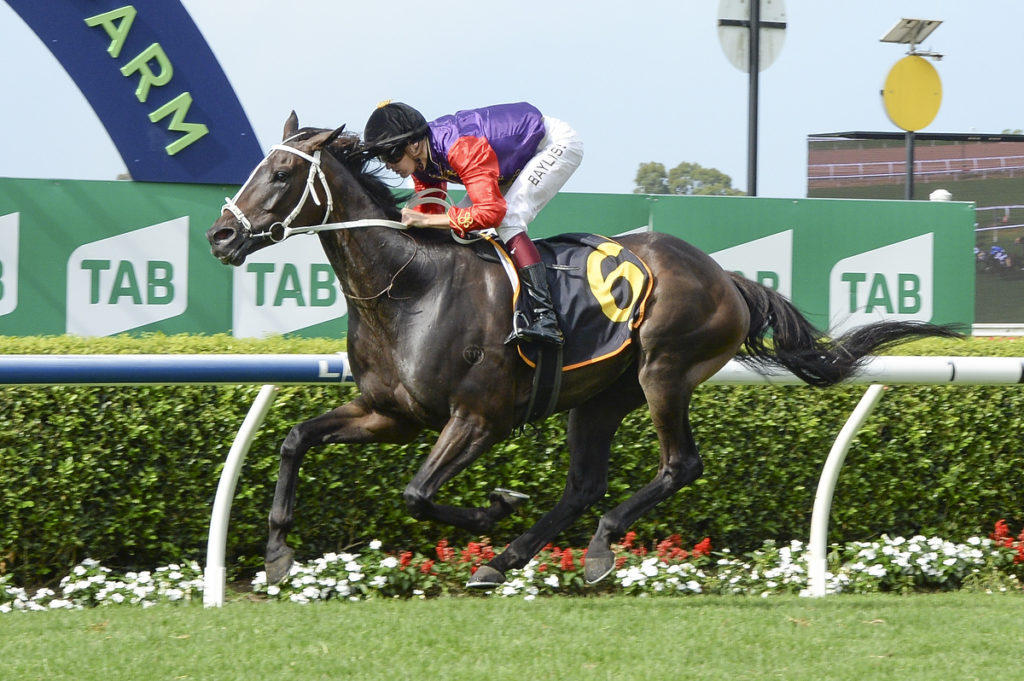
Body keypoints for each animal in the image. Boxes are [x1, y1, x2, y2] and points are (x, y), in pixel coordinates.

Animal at [207, 113, 961, 588]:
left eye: (280, 173)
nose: (221, 235)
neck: (410, 288)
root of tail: (727, 277)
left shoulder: (478, 417)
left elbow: (418, 493)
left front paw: (494, 505)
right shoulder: (390, 412)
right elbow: (294, 441)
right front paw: (277, 554)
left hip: (664, 370)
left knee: (678, 464)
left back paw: (594, 550)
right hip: (597, 398)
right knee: (583, 483)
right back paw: (503, 561)